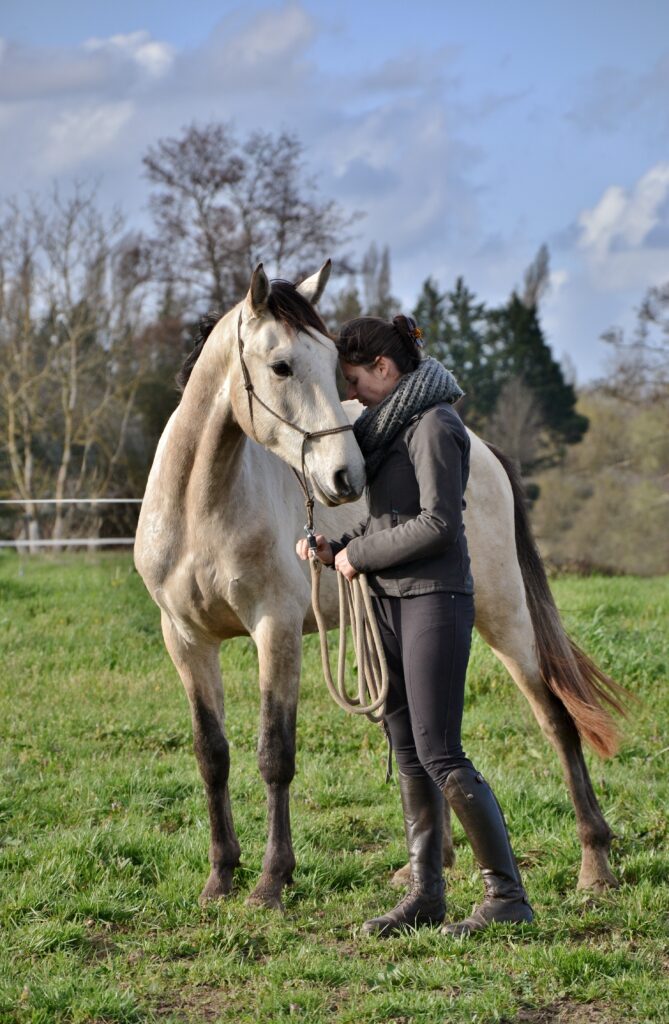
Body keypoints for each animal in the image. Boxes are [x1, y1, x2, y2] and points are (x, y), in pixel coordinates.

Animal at [133, 260, 622, 909]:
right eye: (281, 365)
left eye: (333, 362)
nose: (346, 476)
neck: (200, 509)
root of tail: (485, 451)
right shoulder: (185, 640)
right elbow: (212, 755)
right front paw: (220, 876)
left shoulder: (275, 631)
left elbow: (274, 755)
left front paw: (271, 882)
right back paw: (435, 864)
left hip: (505, 618)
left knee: (556, 721)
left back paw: (595, 865)